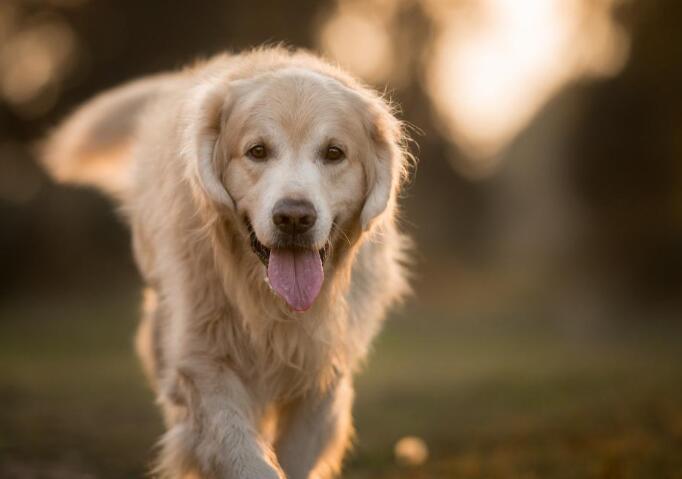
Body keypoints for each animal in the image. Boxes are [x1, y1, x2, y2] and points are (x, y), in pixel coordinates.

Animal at [41, 47, 410, 479]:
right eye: (257, 151)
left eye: (334, 153)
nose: (294, 217)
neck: (269, 303)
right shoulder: (202, 364)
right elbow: (243, 455)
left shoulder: (320, 375)